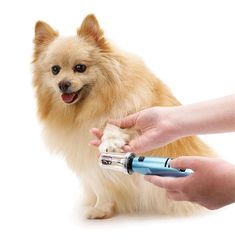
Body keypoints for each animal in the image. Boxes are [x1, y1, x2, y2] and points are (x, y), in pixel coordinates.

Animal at [32, 14, 214, 218]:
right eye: (55, 70)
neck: (89, 107)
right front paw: (101, 208)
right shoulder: (90, 161)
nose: (63, 84)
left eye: (80, 67)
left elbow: (115, 123)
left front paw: (110, 141)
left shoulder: (132, 108)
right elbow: (100, 184)